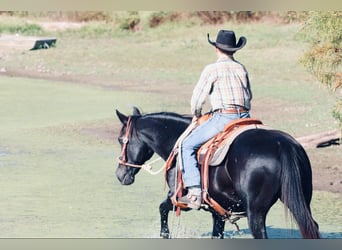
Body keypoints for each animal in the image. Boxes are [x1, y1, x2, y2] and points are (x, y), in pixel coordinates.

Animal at [115, 107, 320, 238]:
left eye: (120, 139)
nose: (119, 174)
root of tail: (281, 144)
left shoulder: (178, 198)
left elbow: (162, 208)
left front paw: (164, 234)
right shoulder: (218, 210)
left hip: (256, 213)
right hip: (299, 200)